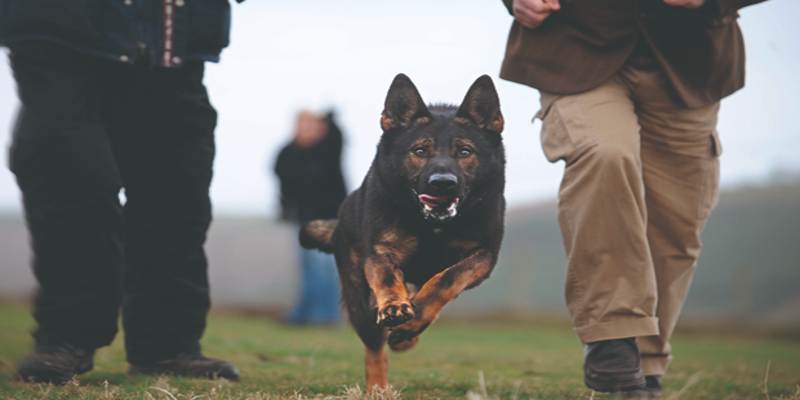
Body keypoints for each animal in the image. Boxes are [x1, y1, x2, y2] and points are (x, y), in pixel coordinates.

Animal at [300, 74, 506, 390]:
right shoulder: (380, 252)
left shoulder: (483, 256)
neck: (433, 225)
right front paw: (396, 307)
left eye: (464, 152)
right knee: (374, 348)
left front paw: (412, 321)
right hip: (359, 303)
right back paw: (378, 388)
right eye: (420, 151)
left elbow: (446, 279)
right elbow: (387, 278)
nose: (442, 183)